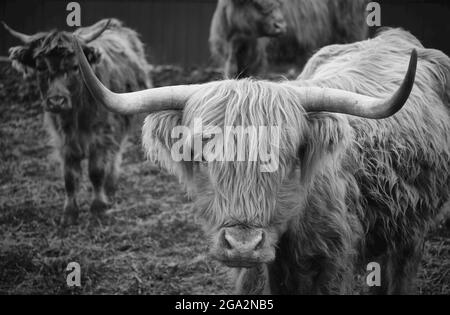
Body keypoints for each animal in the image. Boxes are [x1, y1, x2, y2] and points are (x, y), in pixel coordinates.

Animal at [1, 19, 154, 225]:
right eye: (41, 67)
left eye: (75, 67)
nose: (56, 101)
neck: (76, 116)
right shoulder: (63, 140)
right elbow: (69, 177)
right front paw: (69, 213)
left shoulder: (101, 136)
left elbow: (96, 171)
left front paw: (98, 207)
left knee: (115, 153)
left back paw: (110, 186)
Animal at [75, 27, 448, 296]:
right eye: (204, 155)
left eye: (286, 157)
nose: (242, 245)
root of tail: (393, 35)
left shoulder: (334, 265)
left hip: (412, 233)